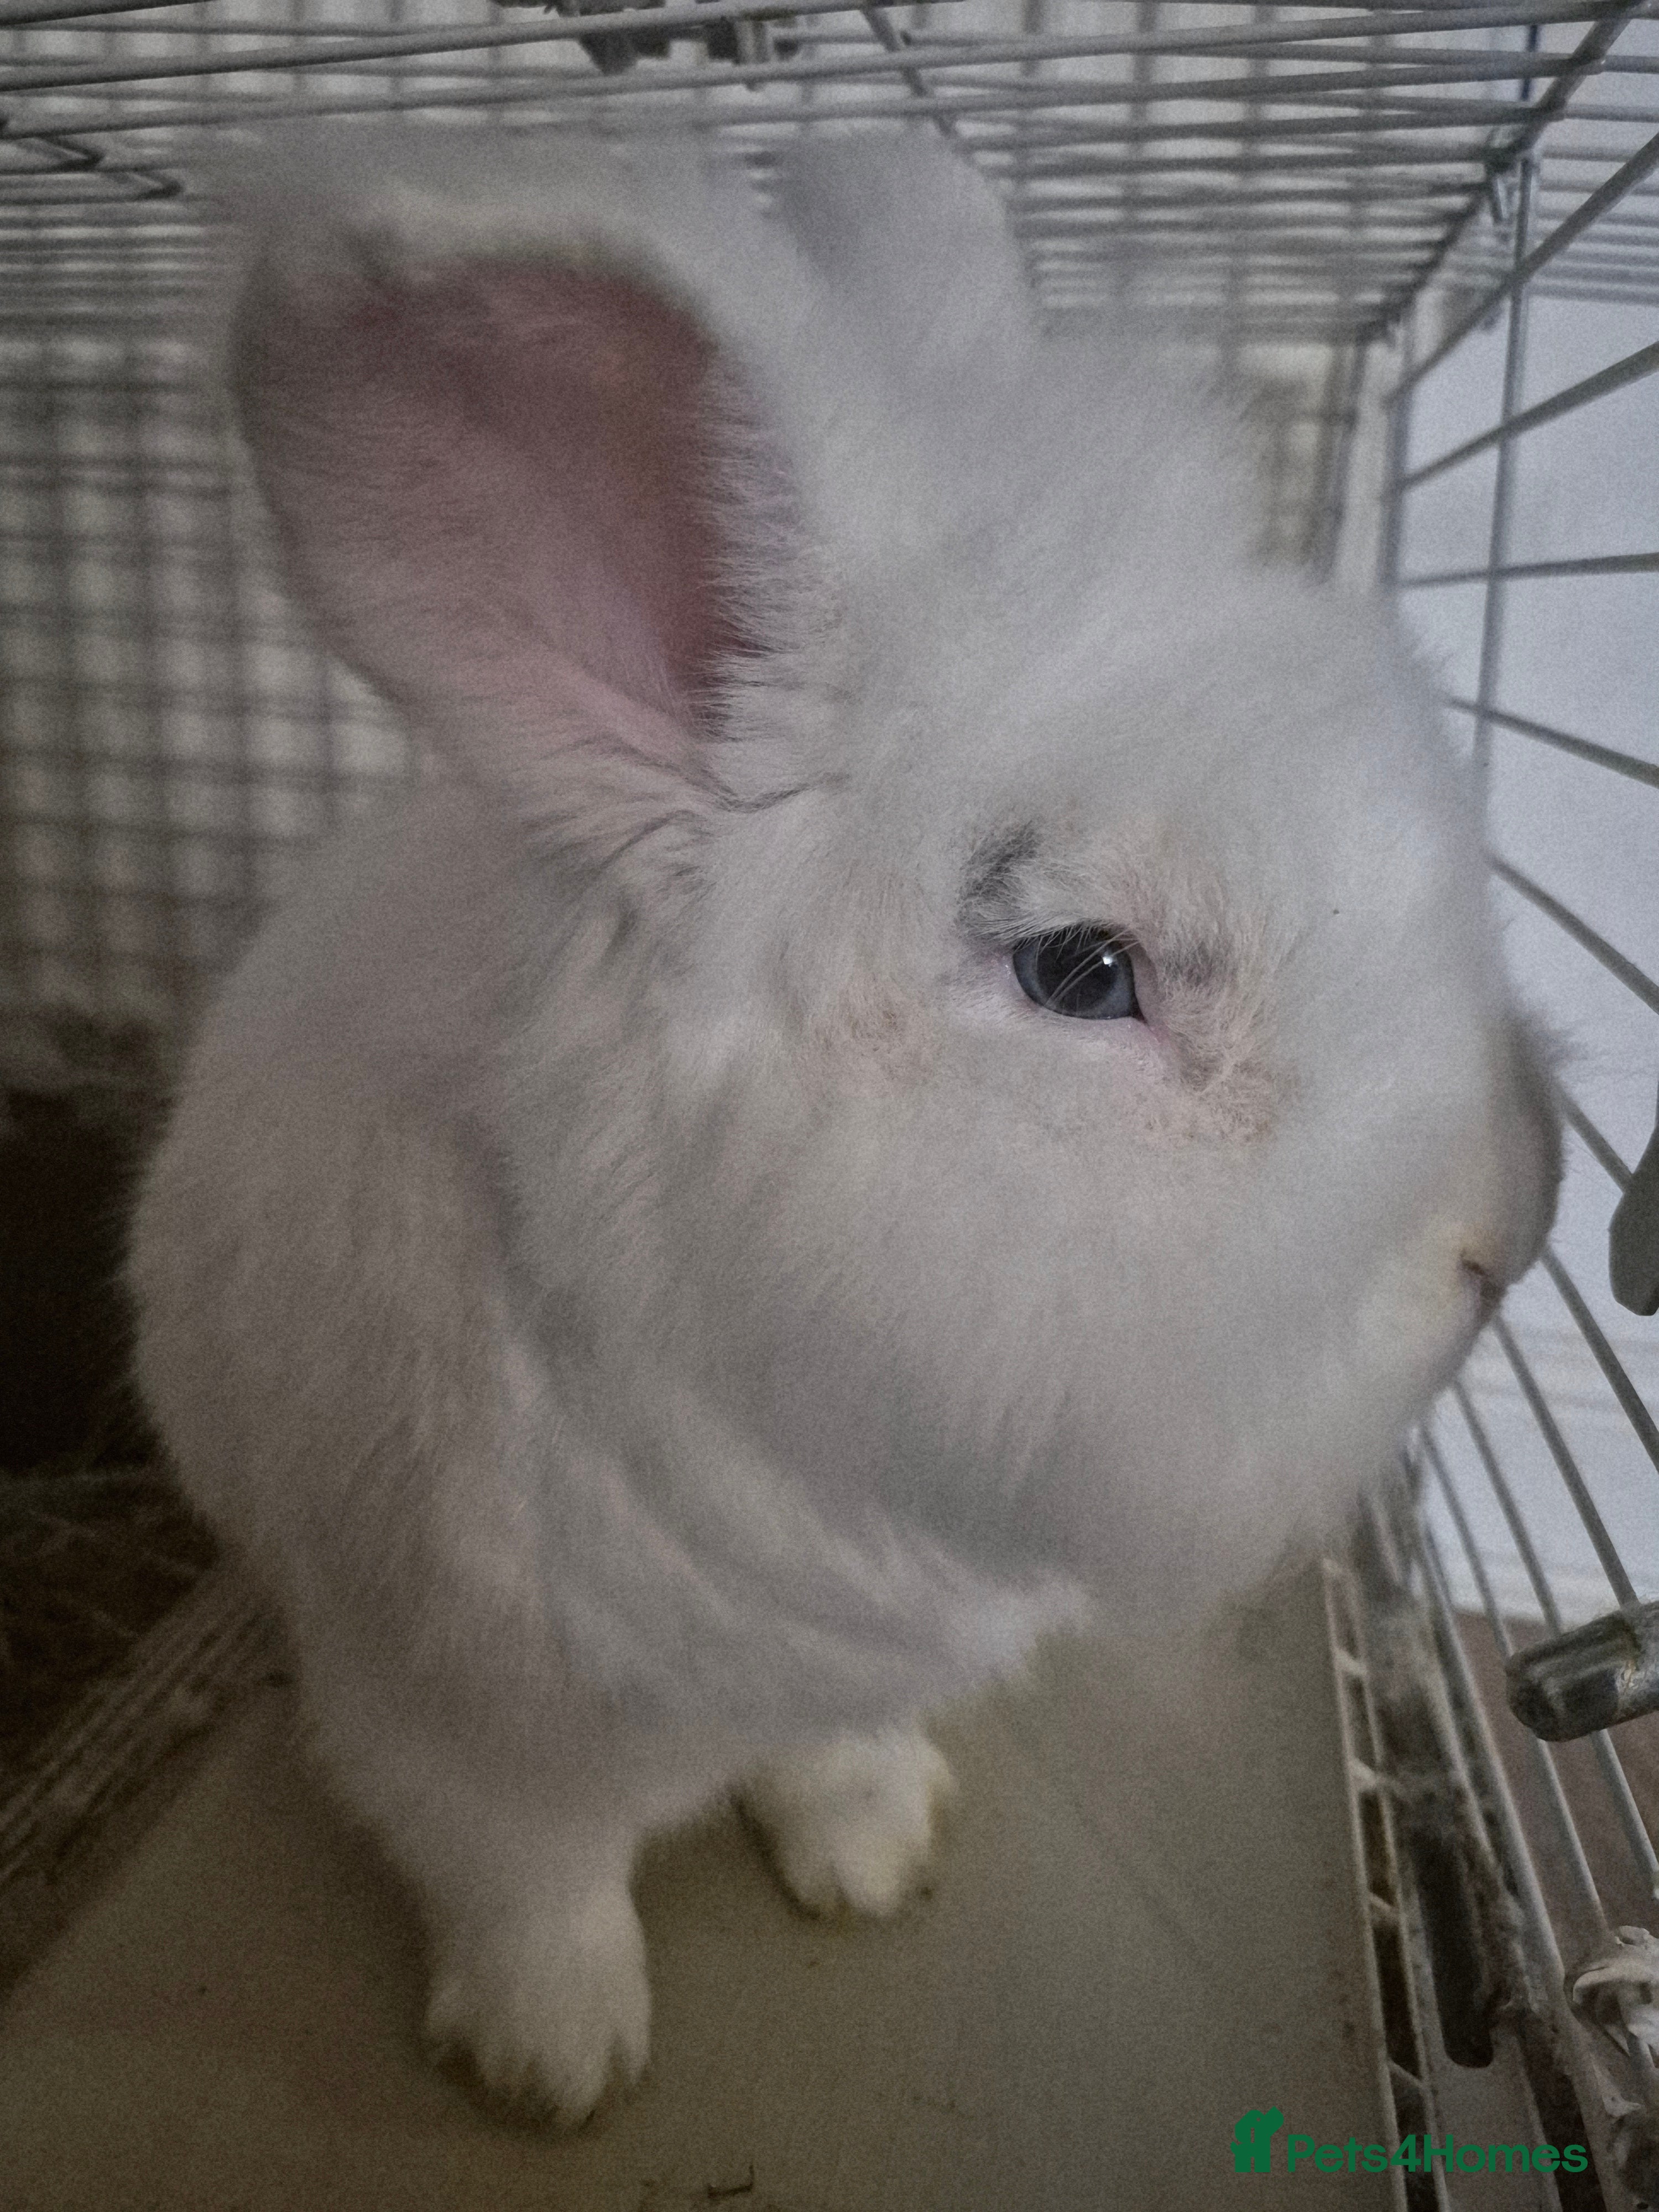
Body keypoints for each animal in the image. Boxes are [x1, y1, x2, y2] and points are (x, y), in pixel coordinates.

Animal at [128, 126, 1561, 2125]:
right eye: (1085, 968)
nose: (1513, 1221)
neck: (793, 1432)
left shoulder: (851, 1674)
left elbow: (838, 1761)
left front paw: (877, 1858)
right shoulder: (440, 1720)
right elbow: (529, 1879)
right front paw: (552, 2065)